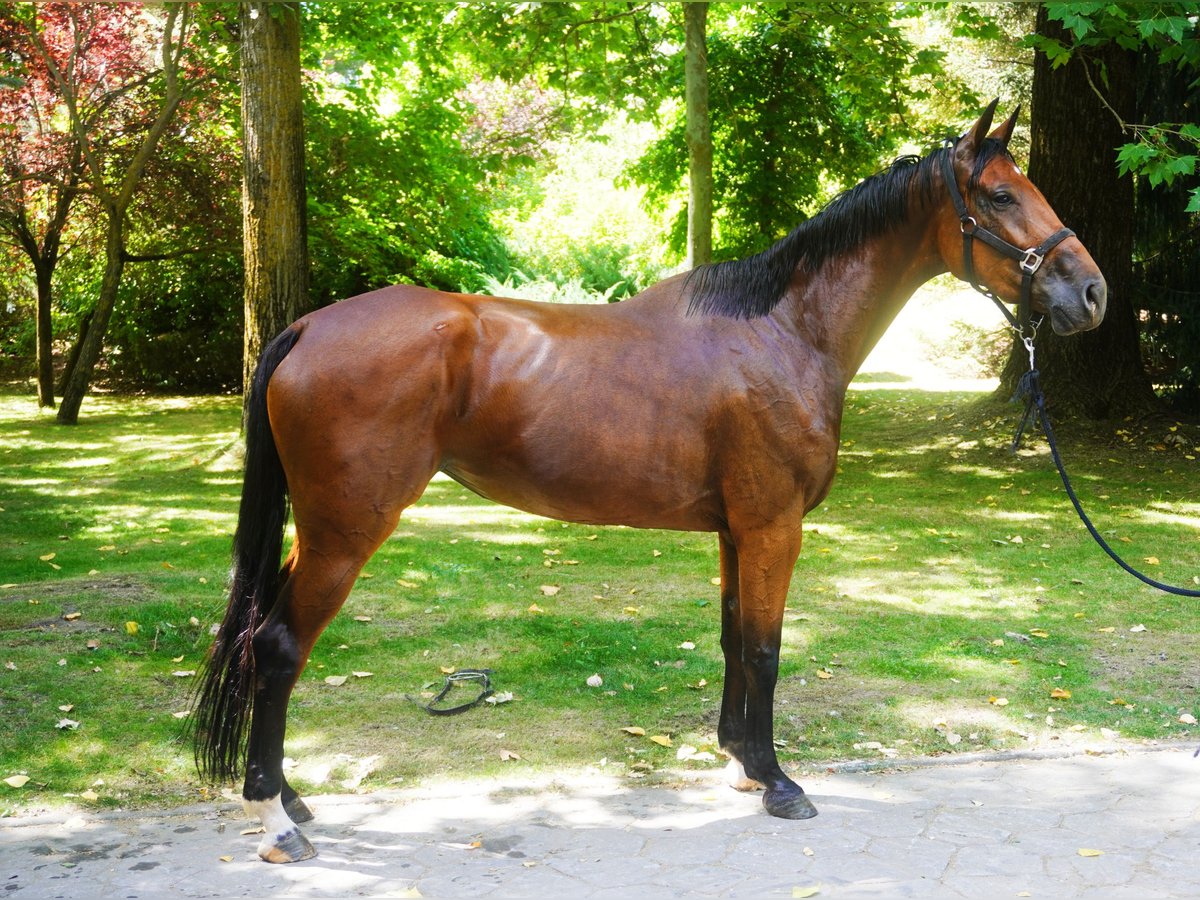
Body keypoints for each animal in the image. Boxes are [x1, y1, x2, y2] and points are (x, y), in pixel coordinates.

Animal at [192, 102, 1106, 863]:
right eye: (998, 196)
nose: (1091, 292)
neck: (784, 331)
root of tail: (309, 326)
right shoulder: (774, 527)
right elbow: (768, 649)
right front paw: (780, 783)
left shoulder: (738, 531)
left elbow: (736, 639)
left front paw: (741, 763)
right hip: (346, 532)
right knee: (278, 647)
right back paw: (276, 821)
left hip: (316, 532)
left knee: (261, 641)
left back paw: (289, 800)